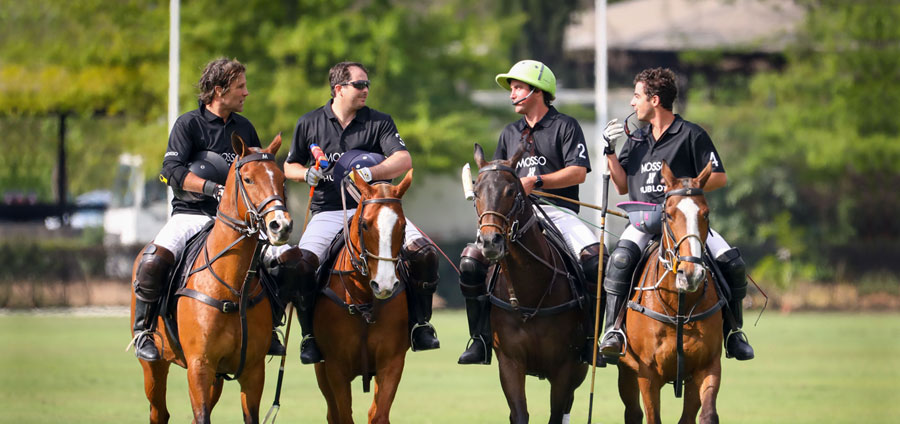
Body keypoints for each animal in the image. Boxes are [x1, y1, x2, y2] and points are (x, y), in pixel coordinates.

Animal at [130, 135, 290, 424]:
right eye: (248, 179)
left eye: (282, 178)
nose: (280, 225)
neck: (232, 287)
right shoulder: (199, 366)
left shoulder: (252, 370)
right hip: (154, 366)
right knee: (159, 411)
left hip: (218, 376)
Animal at [312, 169, 414, 424]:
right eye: (366, 225)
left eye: (403, 225)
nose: (385, 284)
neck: (363, 295)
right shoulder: (335, 367)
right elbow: (343, 415)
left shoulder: (392, 362)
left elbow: (379, 415)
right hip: (320, 368)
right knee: (332, 413)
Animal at [472, 144, 592, 422]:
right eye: (475, 192)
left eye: (511, 191)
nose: (490, 242)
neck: (530, 293)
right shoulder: (509, 361)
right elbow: (519, 413)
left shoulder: (565, 366)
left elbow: (556, 413)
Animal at [616, 160, 728, 424]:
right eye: (668, 214)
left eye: (706, 213)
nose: (691, 274)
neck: (679, 306)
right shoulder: (647, 373)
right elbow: (652, 417)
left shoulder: (706, 366)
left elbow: (706, 415)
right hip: (625, 369)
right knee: (633, 413)